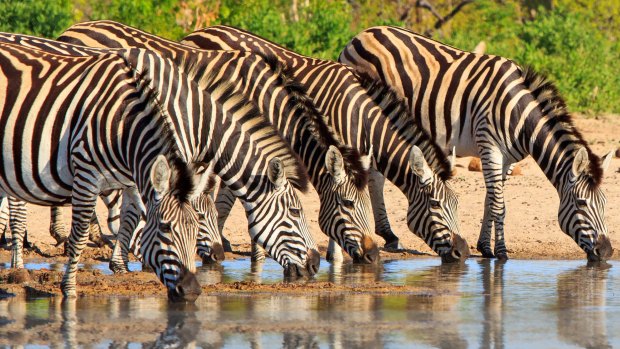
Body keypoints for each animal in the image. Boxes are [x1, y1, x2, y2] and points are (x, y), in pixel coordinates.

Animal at [179, 25, 470, 260]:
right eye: (436, 205)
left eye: (457, 205)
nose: (464, 253)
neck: (358, 115)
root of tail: (194, 34)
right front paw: (337, 256)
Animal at [340, 25, 616, 260]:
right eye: (582, 203)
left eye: (605, 203)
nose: (607, 252)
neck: (520, 115)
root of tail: (360, 35)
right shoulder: (489, 146)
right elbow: (499, 205)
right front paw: (501, 253)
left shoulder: (507, 159)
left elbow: (490, 201)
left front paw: (485, 247)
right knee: (375, 177)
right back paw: (388, 234)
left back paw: (388, 234)